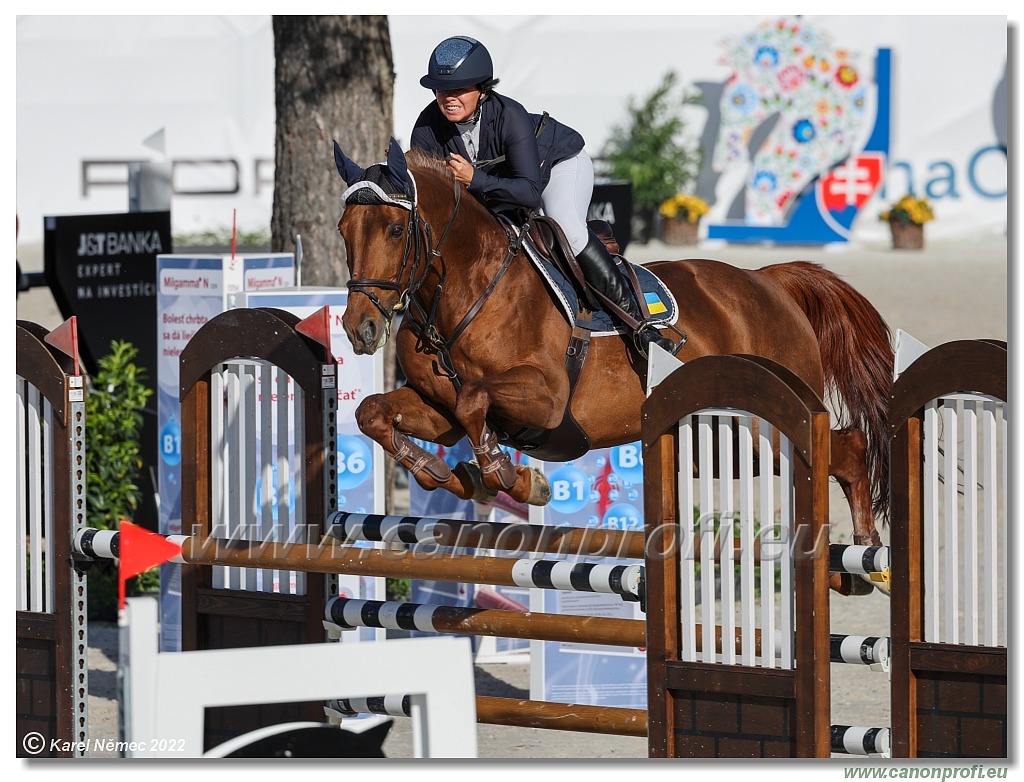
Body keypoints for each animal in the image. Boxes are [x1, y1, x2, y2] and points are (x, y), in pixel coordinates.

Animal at [337, 139, 897, 556]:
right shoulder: (439, 410)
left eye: (394, 228)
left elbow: (476, 399)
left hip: (758, 430)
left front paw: (514, 479)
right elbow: (374, 414)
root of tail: (769, 282)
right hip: (720, 443)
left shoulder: (545, 398)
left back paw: (868, 547)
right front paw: (445, 473)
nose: (359, 328)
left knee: (847, 447)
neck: (467, 289)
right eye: (344, 231)